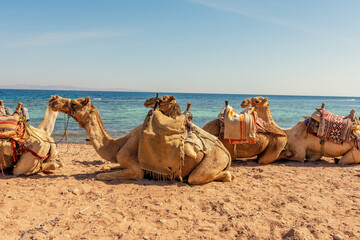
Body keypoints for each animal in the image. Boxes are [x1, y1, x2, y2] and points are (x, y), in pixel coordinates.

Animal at [47, 94, 233, 184]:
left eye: (75, 103)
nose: (53, 99)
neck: (118, 145)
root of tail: (226, 153)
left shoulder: (137, 170)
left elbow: (100, 176)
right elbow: (106, 168)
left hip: (213, 161)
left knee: (200, 177)